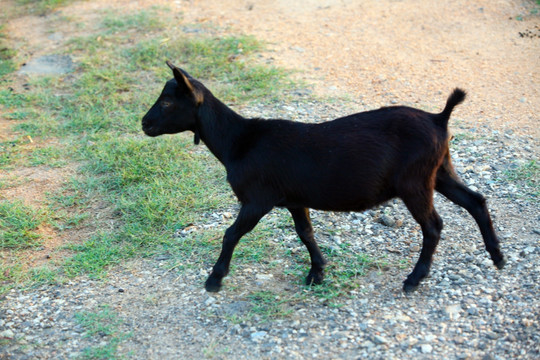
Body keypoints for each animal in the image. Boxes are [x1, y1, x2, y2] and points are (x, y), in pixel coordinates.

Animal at [141, 62, 504, 292]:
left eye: (168, 101)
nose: (144, 124)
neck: (238, 141)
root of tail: (439, 118)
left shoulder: (258, 199)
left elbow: (231, 234)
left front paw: (215, 280)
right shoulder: (293, 198)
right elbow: (306, 233)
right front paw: (317, 272)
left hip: (415, 182)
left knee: (433, 226)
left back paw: (415, 279)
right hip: (439, 171)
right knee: (475, 201)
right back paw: (497, 257)